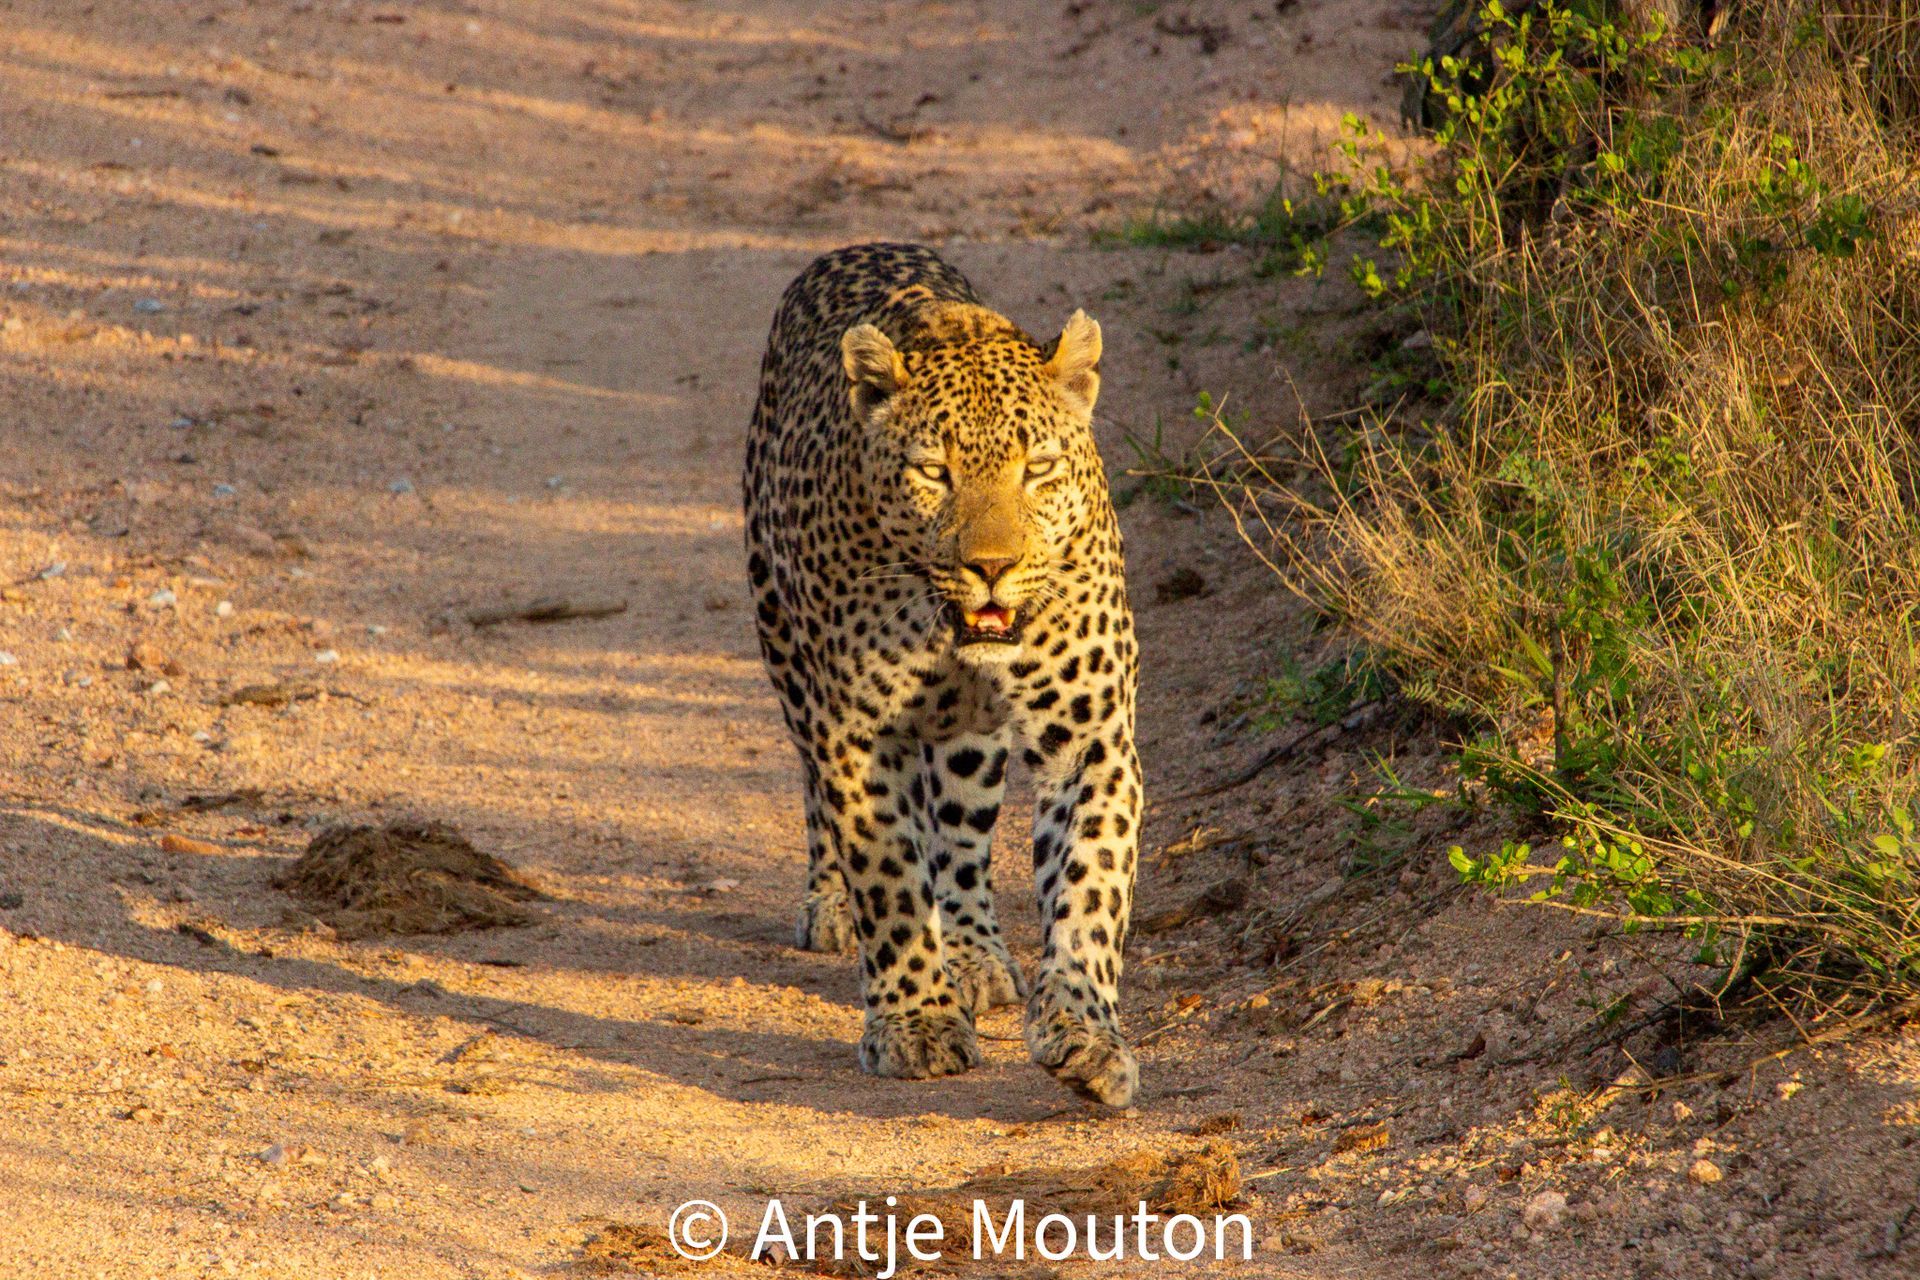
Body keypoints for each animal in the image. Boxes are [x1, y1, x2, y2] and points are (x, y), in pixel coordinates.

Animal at [743, 242, 1143, 1107]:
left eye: (1039, 469)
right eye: (933, 472)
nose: (991, 567)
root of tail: (857, 247)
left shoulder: (1091, 740)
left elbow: (1090, 885)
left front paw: (1087, 1034)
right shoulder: (858, 736)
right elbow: (890, 878)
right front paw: (916, 1025)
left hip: (969, 742)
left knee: (960, 837)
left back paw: (973, 953)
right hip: (784, 646)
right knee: (815, 789)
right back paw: (831, 904)